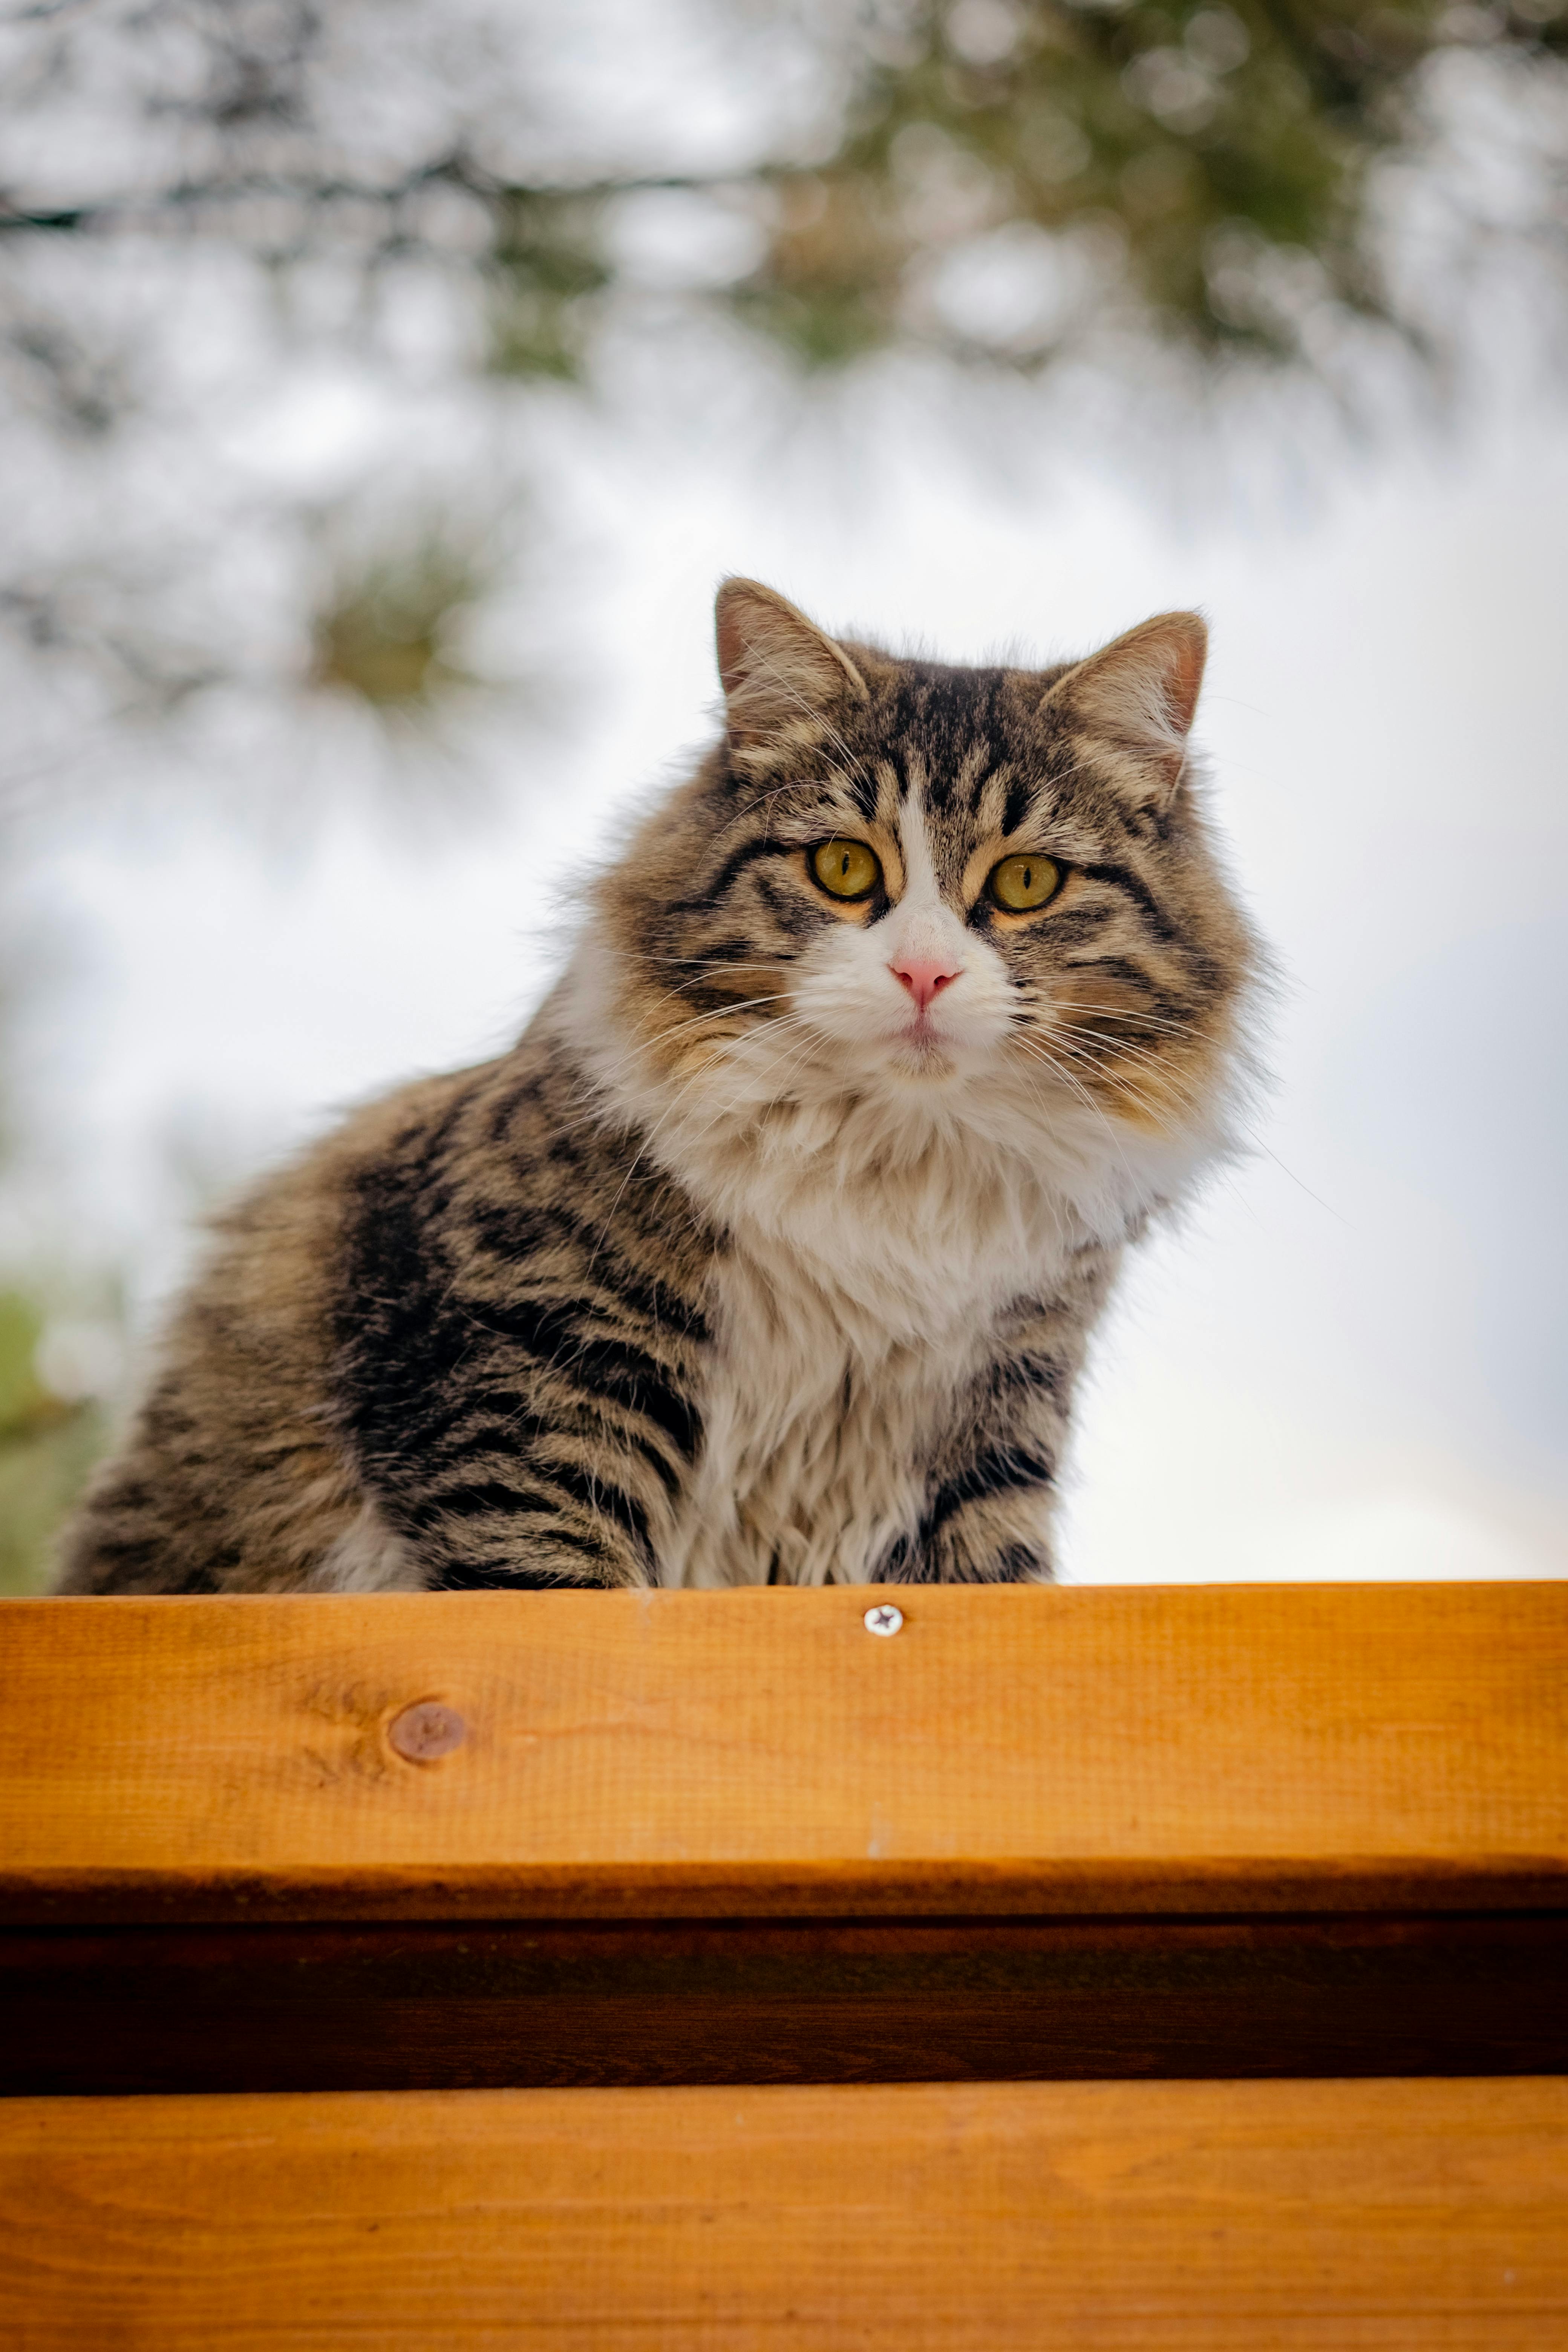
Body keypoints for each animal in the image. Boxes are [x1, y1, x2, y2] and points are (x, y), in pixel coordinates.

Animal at [61, 576, 1260, 1590]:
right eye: (843, 868)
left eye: (1023, 883)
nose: (923, 973)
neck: (892, 1179)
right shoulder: (533, 1381)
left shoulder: (996, 1421)